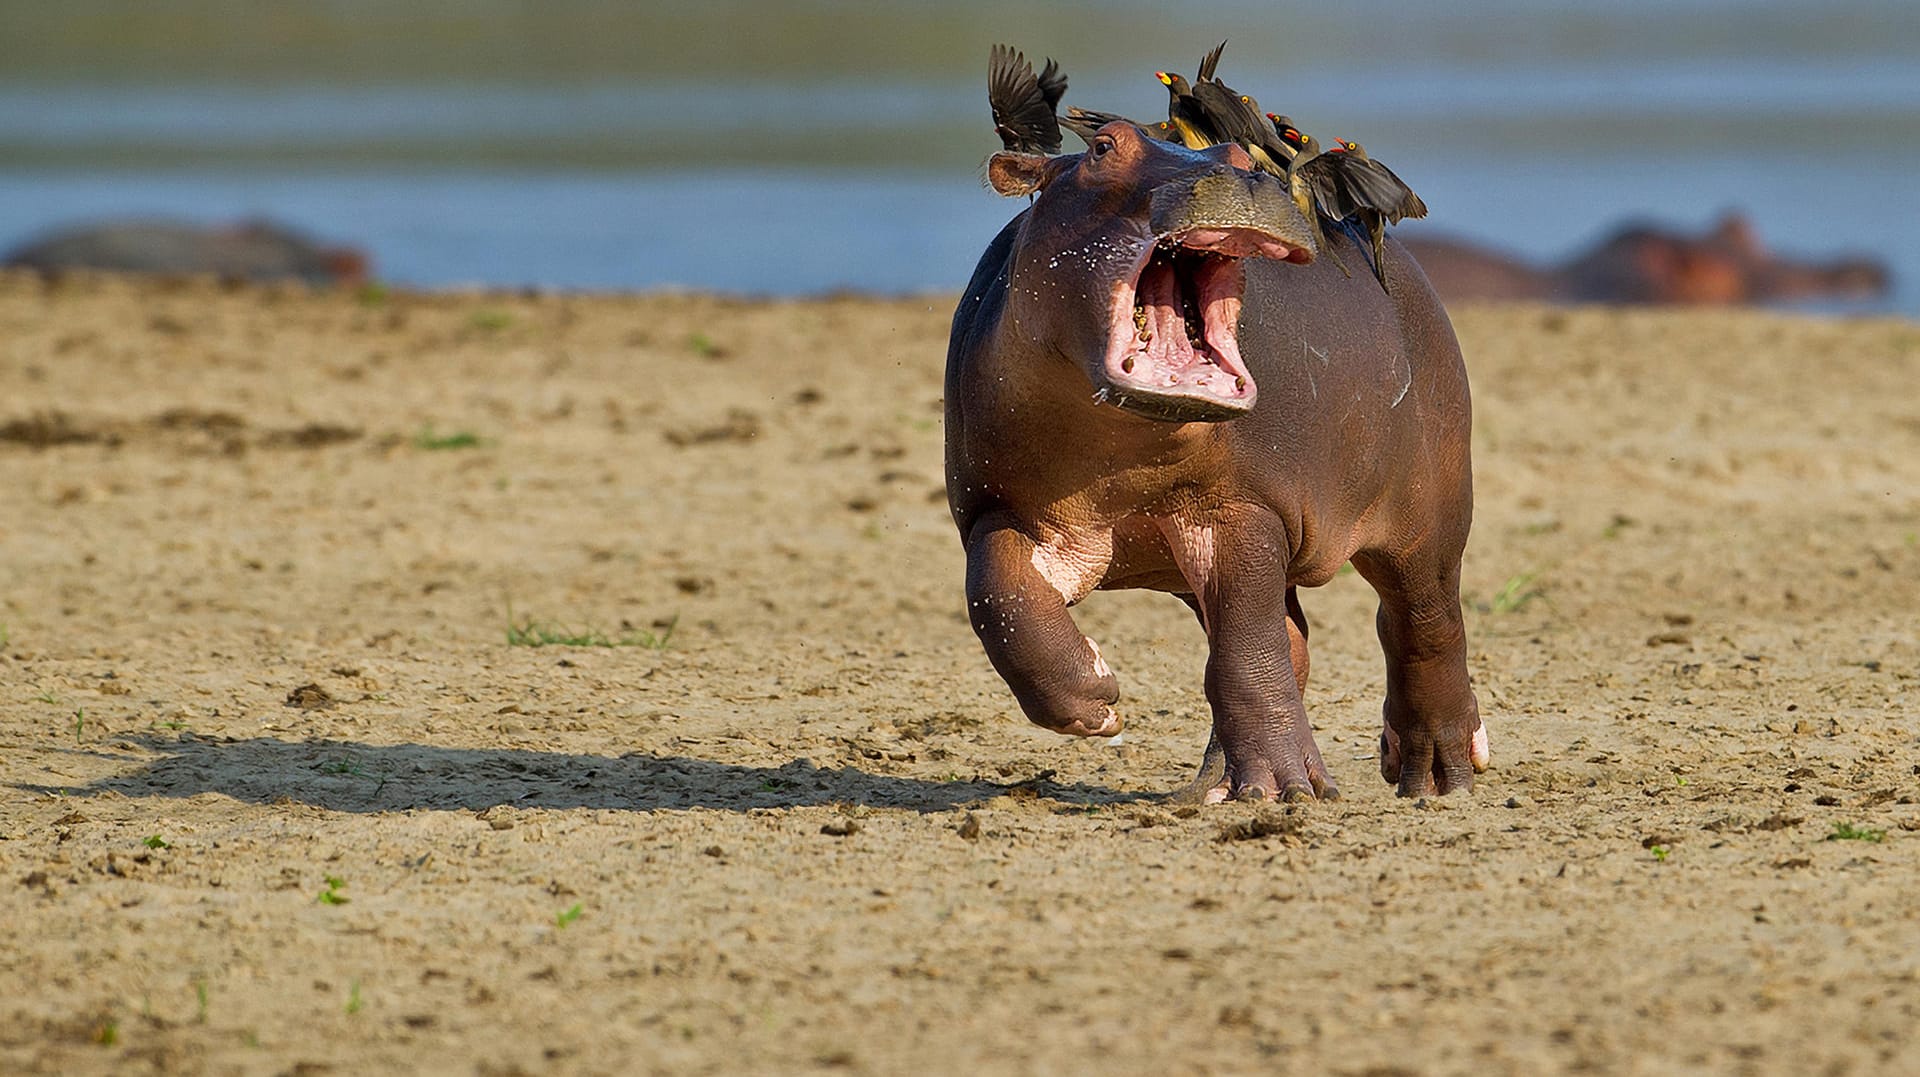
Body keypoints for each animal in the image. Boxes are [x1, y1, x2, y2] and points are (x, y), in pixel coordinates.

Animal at [952, 123, 1489, 798]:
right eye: (1102, 146)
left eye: (1239, 155)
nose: (1240, 176)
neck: (1125, 453)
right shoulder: (1001, 508)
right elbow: (999, 596)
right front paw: (1097, 703)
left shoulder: (1243, 508)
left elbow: (1248, 648)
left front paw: (1288, 789)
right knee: (1291, 644)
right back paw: (1213, 785)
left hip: (1430, 515)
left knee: (1422, 624)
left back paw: (1435, 775)